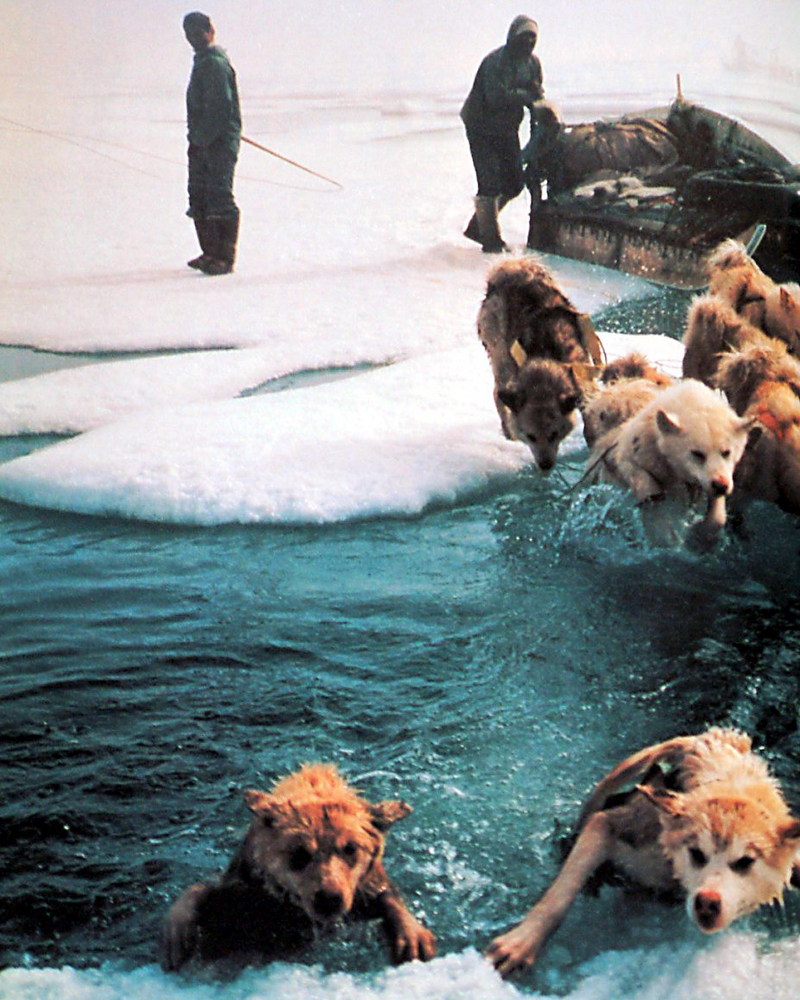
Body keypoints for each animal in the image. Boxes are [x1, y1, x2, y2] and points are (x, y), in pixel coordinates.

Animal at [161, 764, 438, 968]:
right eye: (300, 853)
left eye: (351, 849)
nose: (329, 898)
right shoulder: (246, 890)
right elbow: (202, 891)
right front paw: (178, 935)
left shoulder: (362, 893)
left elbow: (385, 896)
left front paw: (411, 934)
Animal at [476, 258, 600, 476]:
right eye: (530, 436)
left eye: (554, 434)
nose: (545, 465)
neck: (546, 358)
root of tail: (510, 268)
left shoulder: (584, 382)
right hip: (500, 356)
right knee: (498, 394)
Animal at [484, 728, 800, 976]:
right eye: (697, 854)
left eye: (745, 862)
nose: (707, 903)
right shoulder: (612, 826)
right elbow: (560, 895)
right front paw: (522, 943)